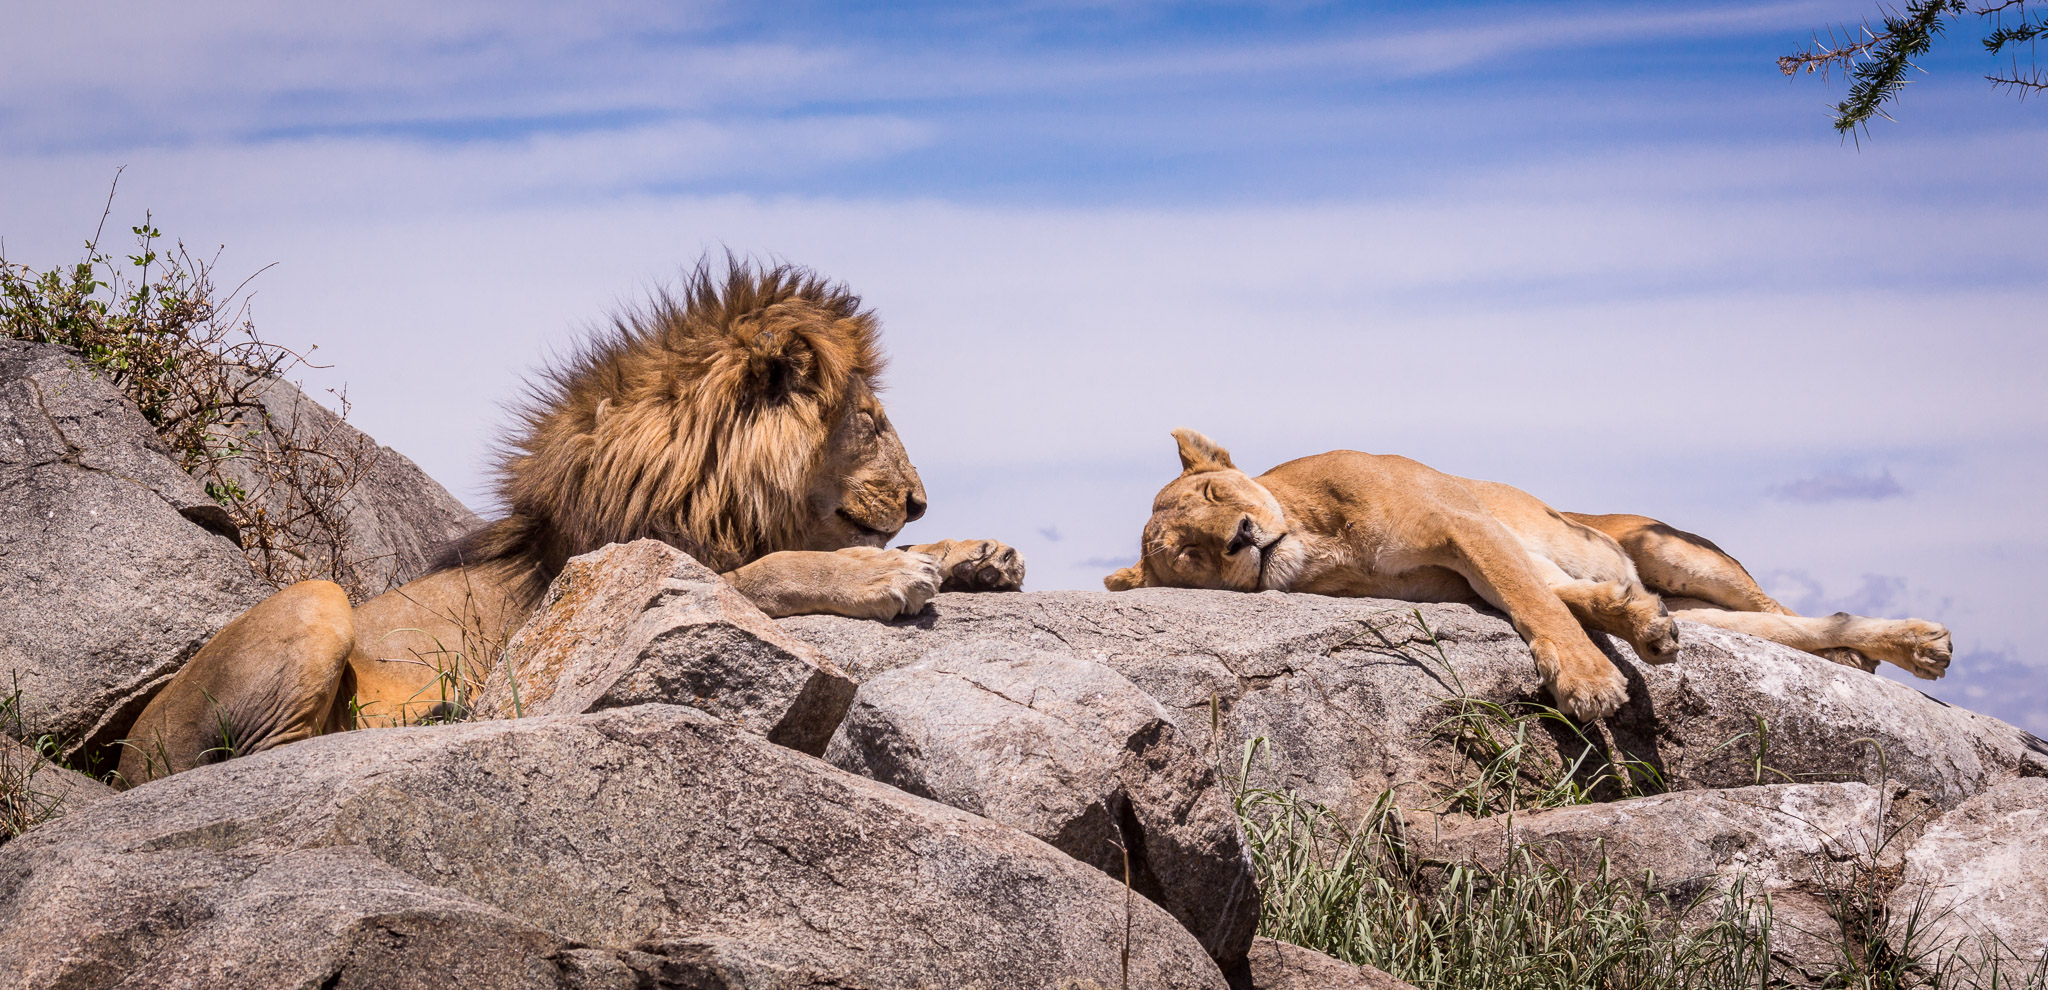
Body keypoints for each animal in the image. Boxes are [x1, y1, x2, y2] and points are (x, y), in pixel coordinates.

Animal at [119, 261, 1024, 782]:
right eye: (869, 421)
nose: (920, 502)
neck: (716, 483)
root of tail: (126, 755)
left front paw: (980, 553)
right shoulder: (628, 572)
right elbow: (775, 569)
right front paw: (892, 572)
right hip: (315, 598)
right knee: (258, 757)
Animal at [1105, 430, 1949, 725]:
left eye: (1216, 497)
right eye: (1189, 554)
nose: (1243, 538)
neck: (1321, 546)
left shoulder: (1465, 524)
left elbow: (1536, 602)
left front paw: (1588, 683)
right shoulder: (1459, 575)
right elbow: (1566, 600)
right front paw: (1639, 625)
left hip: (1677, 549)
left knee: (1783, 604)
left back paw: (1896, 649)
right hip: (1708, 602)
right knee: (1789, 629)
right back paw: (1885, 649)